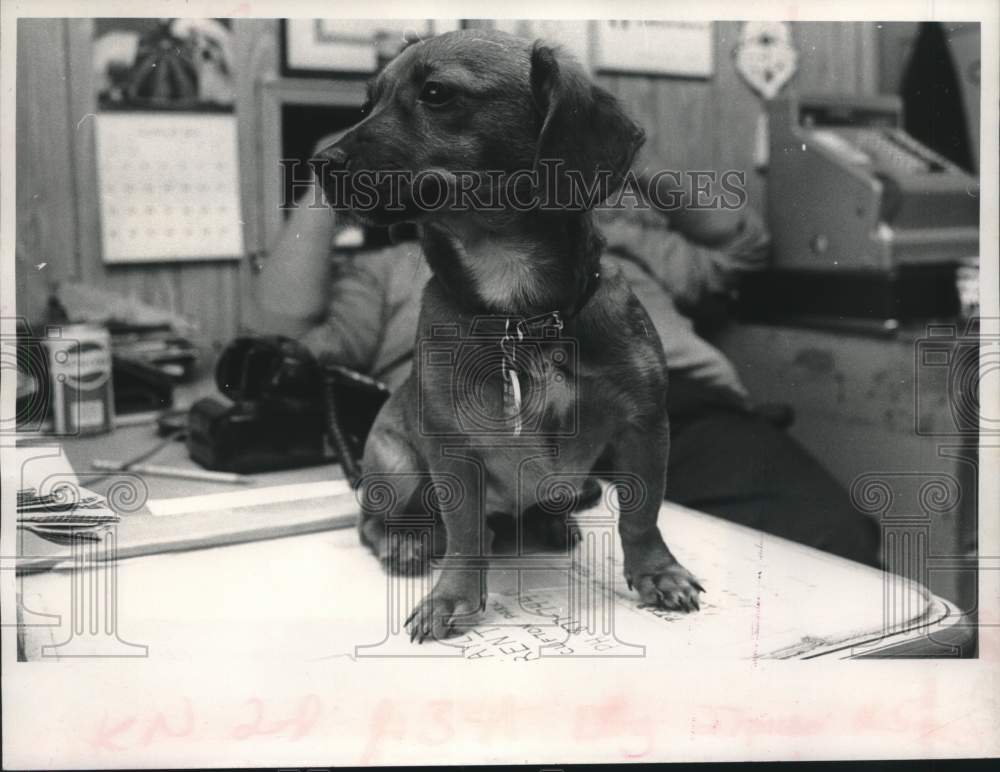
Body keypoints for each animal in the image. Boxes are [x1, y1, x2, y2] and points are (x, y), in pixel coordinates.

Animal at [314, 28, 704, 644]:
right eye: (366, 103)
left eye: (436, 92)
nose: (317, 164)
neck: (521, 314)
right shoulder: (453, 453)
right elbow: (467, 536)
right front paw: (450, 598)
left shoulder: (644, 426)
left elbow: (642, 516)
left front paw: (657, 574)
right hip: (396, 469)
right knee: (374, 521)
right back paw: (406, 543)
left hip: (575, 482)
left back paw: (551, 524)